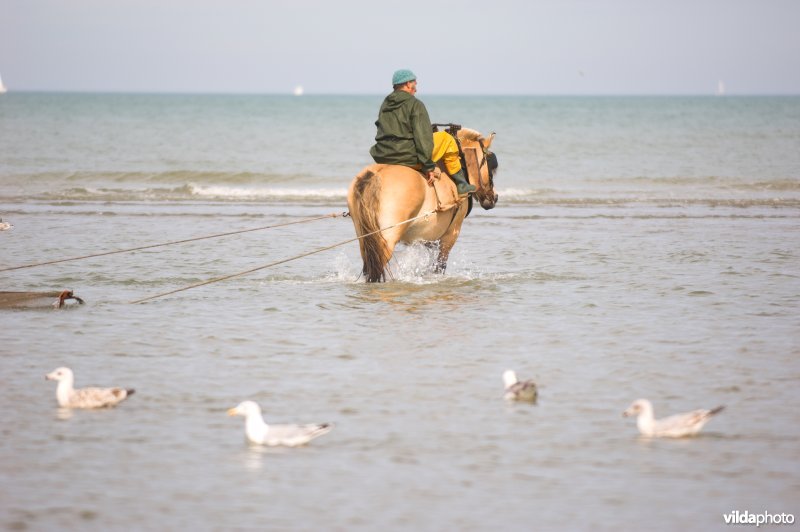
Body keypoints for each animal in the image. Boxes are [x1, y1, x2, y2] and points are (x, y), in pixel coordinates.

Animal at [347, 128, 498, 282]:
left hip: (365, 238)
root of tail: (374, 175)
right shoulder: (451, 234)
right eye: (490, 165)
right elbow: (440, 266)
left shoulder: (429, 240)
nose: (494, 197)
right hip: (387, 239)